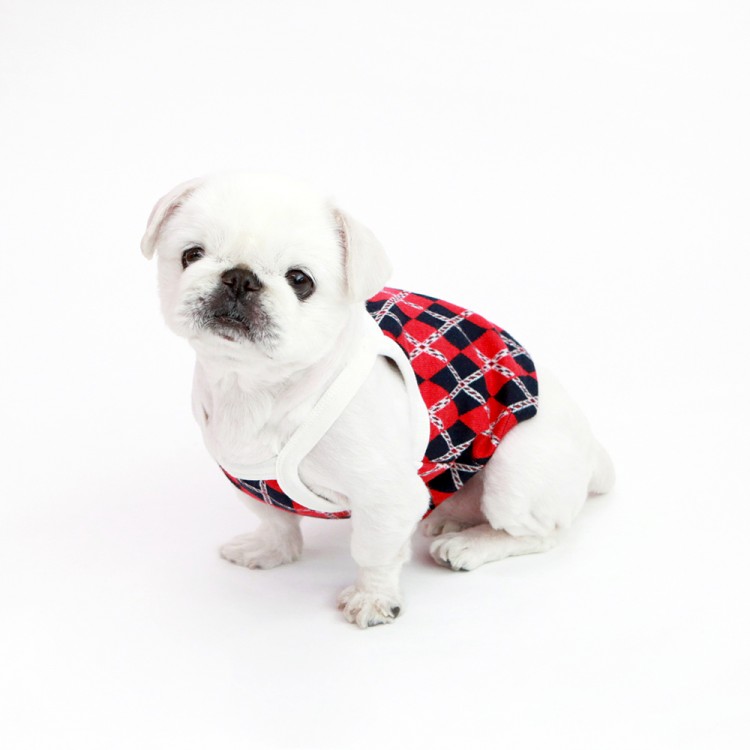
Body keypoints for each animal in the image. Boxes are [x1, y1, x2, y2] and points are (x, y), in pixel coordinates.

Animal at [141, 172, 614, 628]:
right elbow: (277, 522)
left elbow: (374, 552)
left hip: (516, 476)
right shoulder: (249, 483)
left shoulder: (388, 497)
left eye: (300, 281)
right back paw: (452, 517)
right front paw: (272, 550)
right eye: (191, 255)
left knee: (541, 533)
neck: (256, 387)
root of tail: (593, 450)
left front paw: (374, 598)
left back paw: (470, 544)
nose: (240, 277)